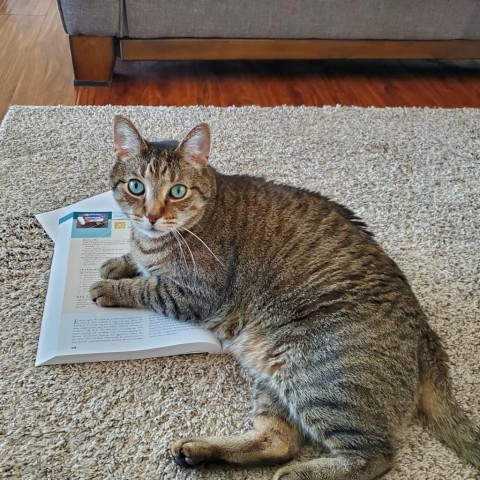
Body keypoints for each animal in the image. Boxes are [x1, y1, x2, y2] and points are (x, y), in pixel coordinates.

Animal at [88, 116, 478, 480]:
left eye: (178, 191)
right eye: (136, 187)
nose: (151, 215)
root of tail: (426, 335)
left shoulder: (194, 294)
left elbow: (147, 287)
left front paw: (109, 287)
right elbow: (137, 260)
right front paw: (118, 262)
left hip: (317, 376)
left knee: (374, 456)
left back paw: (300, 473)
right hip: (272, 373)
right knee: (278, 442)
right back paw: (199, 451)